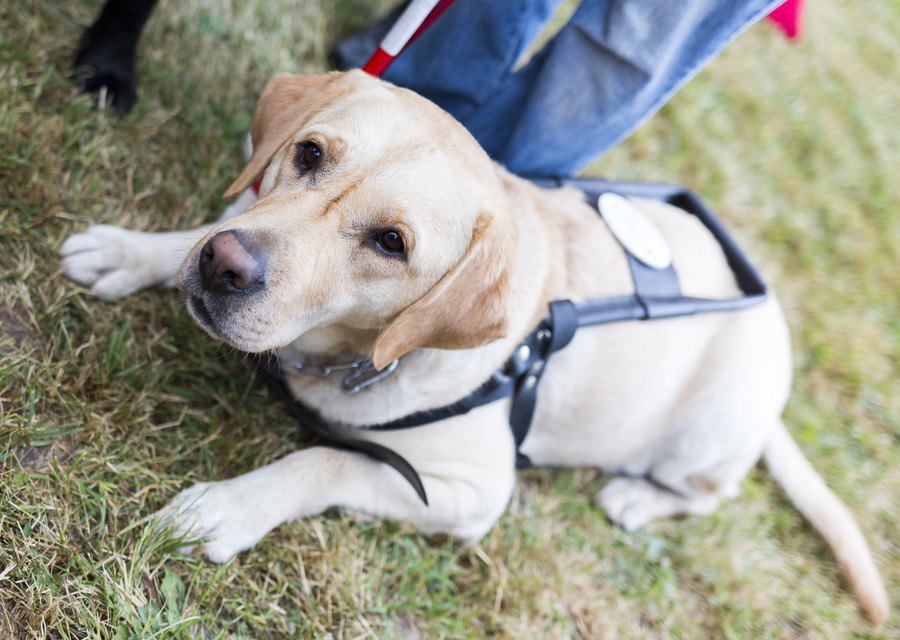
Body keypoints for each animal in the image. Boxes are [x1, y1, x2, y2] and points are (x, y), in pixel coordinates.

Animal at [59, 71, 888, 624]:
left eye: (391, 242)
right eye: (309, 154)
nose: (225, 268)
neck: (350, 354)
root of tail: (773, 322)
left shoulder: (468, 492)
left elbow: (320, 460)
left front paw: (227, 508)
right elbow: (206, 226)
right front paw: (135, 251)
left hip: (706, 438)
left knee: (708, 494)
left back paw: (638, 496)